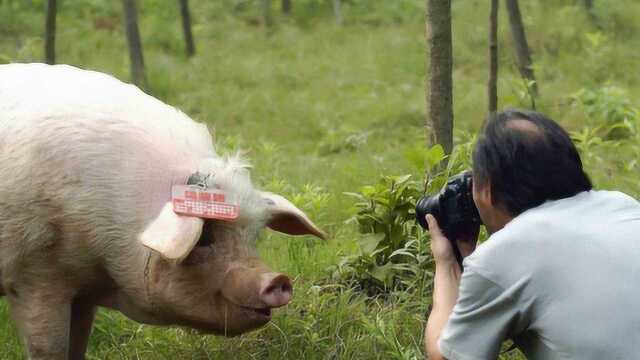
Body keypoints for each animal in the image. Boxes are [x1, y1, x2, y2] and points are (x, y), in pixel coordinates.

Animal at [0, 64, 324, 360]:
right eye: (204, 237)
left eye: (254, 237)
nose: (277, 278)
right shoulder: (35, 276)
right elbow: (48, 348)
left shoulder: (82, 293)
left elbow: (78, 344)